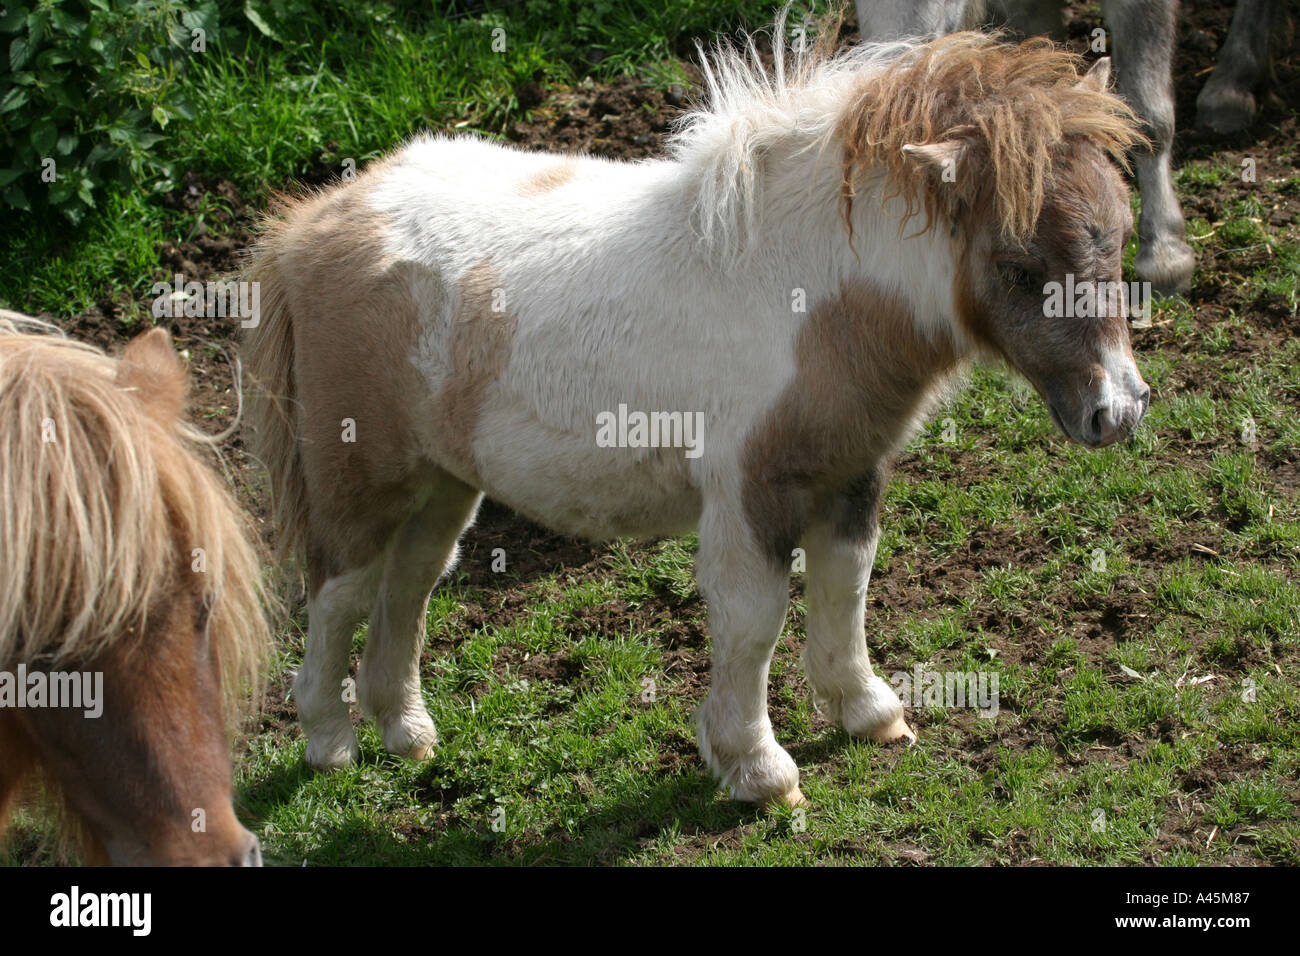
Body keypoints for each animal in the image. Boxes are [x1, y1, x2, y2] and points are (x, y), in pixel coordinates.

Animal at [243, 22, 1150, 807]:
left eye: (1121, 234)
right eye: (1020, 266)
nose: (1118, 411)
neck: (803, 291)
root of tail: (314, 223)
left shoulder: (849, 470)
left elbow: (847, 585)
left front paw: (868, 712)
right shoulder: (750, 488)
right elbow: (752, 620)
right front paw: (758, 770)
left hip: (443, 483)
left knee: (410, 584)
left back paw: (406, 733)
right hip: (359, 478)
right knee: (339, 594)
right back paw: (330, 743)